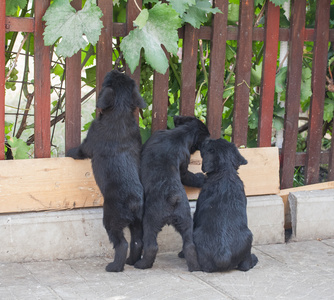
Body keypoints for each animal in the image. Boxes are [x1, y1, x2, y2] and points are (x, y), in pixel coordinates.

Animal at [66, 69, 146, 272]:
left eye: (108, 80)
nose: (117, 69)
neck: (120, 111)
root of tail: (133, 202)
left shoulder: (88, 144)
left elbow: (78, 151)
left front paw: (69, 152)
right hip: (137, 222)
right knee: (137, 242)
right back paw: (130, 261)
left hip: (111, 220)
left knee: (122, 243)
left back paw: (114, 266)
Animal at [134, 116, 209, 270]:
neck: (182, 133)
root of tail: (172, 197)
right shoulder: (184, 163)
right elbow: (189, 176)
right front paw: (202, 179)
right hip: (186, 222)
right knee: (190, 246)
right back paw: (195, 267)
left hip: (150, 222)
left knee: (151, 246)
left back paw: (142, 264)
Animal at [193, 138, 258, 272]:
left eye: (208, 144)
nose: (207, 138)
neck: (224, 171)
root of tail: (223, 256)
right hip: (248, 237)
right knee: (245, 266)